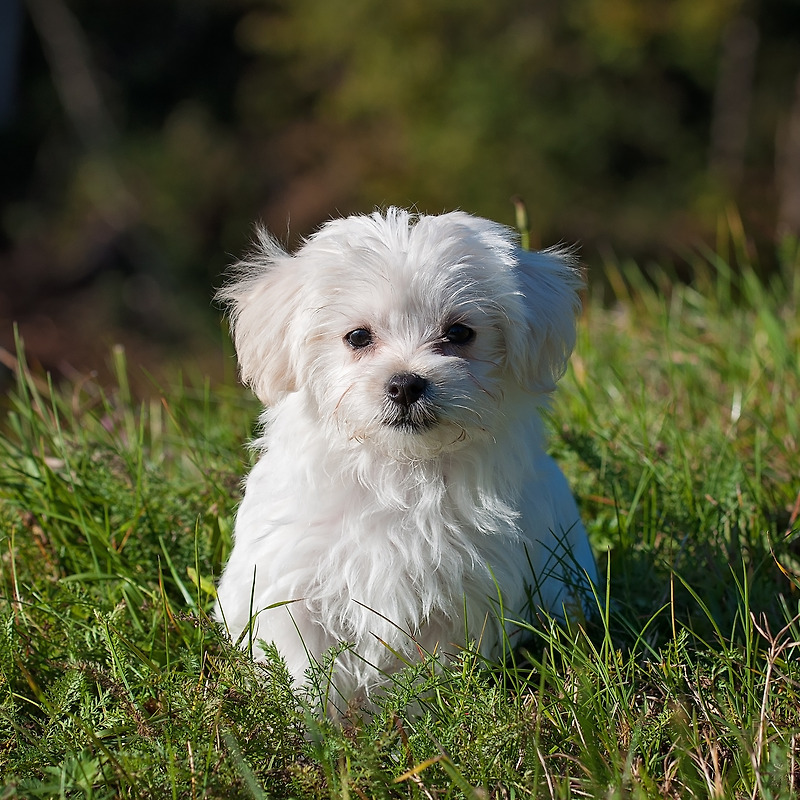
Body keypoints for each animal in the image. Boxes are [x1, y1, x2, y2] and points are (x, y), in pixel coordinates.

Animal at [216, 208, 596, 712]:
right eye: (358, 337)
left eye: (459, 333)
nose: (405, 383)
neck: (400, 470)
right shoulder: (291, 586)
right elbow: (305, 669)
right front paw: (315, 725)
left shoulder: (460, 597)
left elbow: (427, 674)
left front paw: (417, 719)